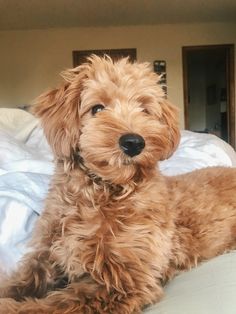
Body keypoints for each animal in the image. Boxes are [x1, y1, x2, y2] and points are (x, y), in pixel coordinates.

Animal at [0, 55, 236, 312]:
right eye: (97, 108)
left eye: (144, 109)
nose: (133, 142)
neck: (100, 194)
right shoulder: (46, 257)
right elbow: (20, 280)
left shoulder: (123, 282)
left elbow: (55, 305)